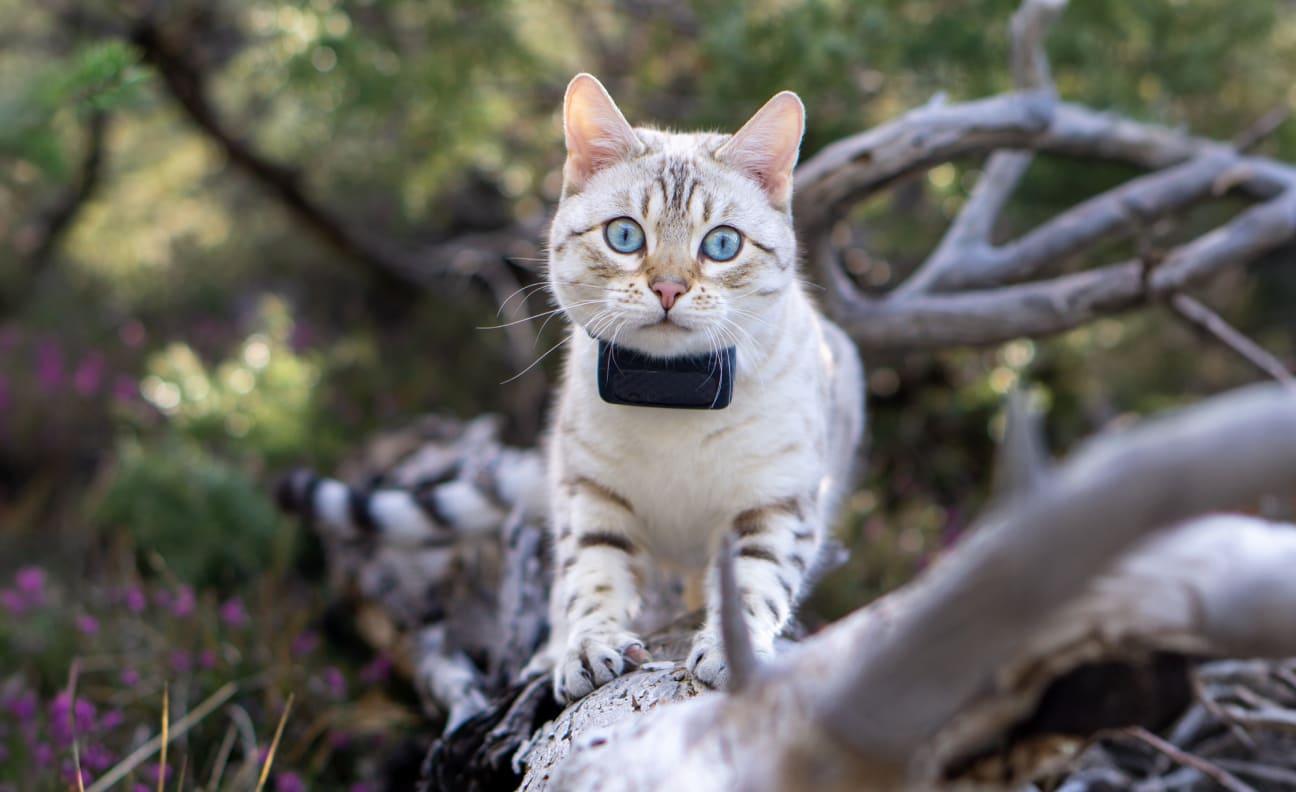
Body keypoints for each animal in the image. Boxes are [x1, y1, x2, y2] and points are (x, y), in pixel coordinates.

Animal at [541, 74, 865, 705]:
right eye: (624, 235)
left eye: (721, 245)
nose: (668, 288)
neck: (672, 394)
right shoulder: (589, 490)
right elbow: (591, 576)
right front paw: (589, 648)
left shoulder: (775, 497)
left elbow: (754, 583)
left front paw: (731, 656)